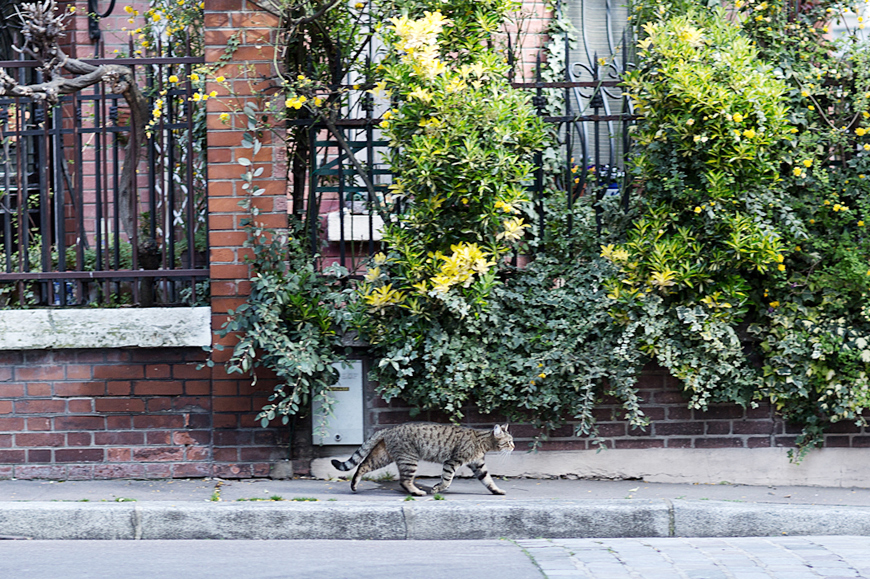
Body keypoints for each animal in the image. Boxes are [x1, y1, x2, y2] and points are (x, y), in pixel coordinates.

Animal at [332, 422, 510, 498]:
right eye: (509, 442)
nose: (514, 446)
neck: (482, 441)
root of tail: (390, 428)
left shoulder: (479, 465)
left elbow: (488, 480)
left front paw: (497, 491)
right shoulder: (452, 461)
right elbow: (447, 480)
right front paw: (438, 488)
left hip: (383, 456)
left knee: (362, 465)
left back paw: (354, 485)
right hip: (409, 459)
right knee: (405, 481)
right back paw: (417, 492)